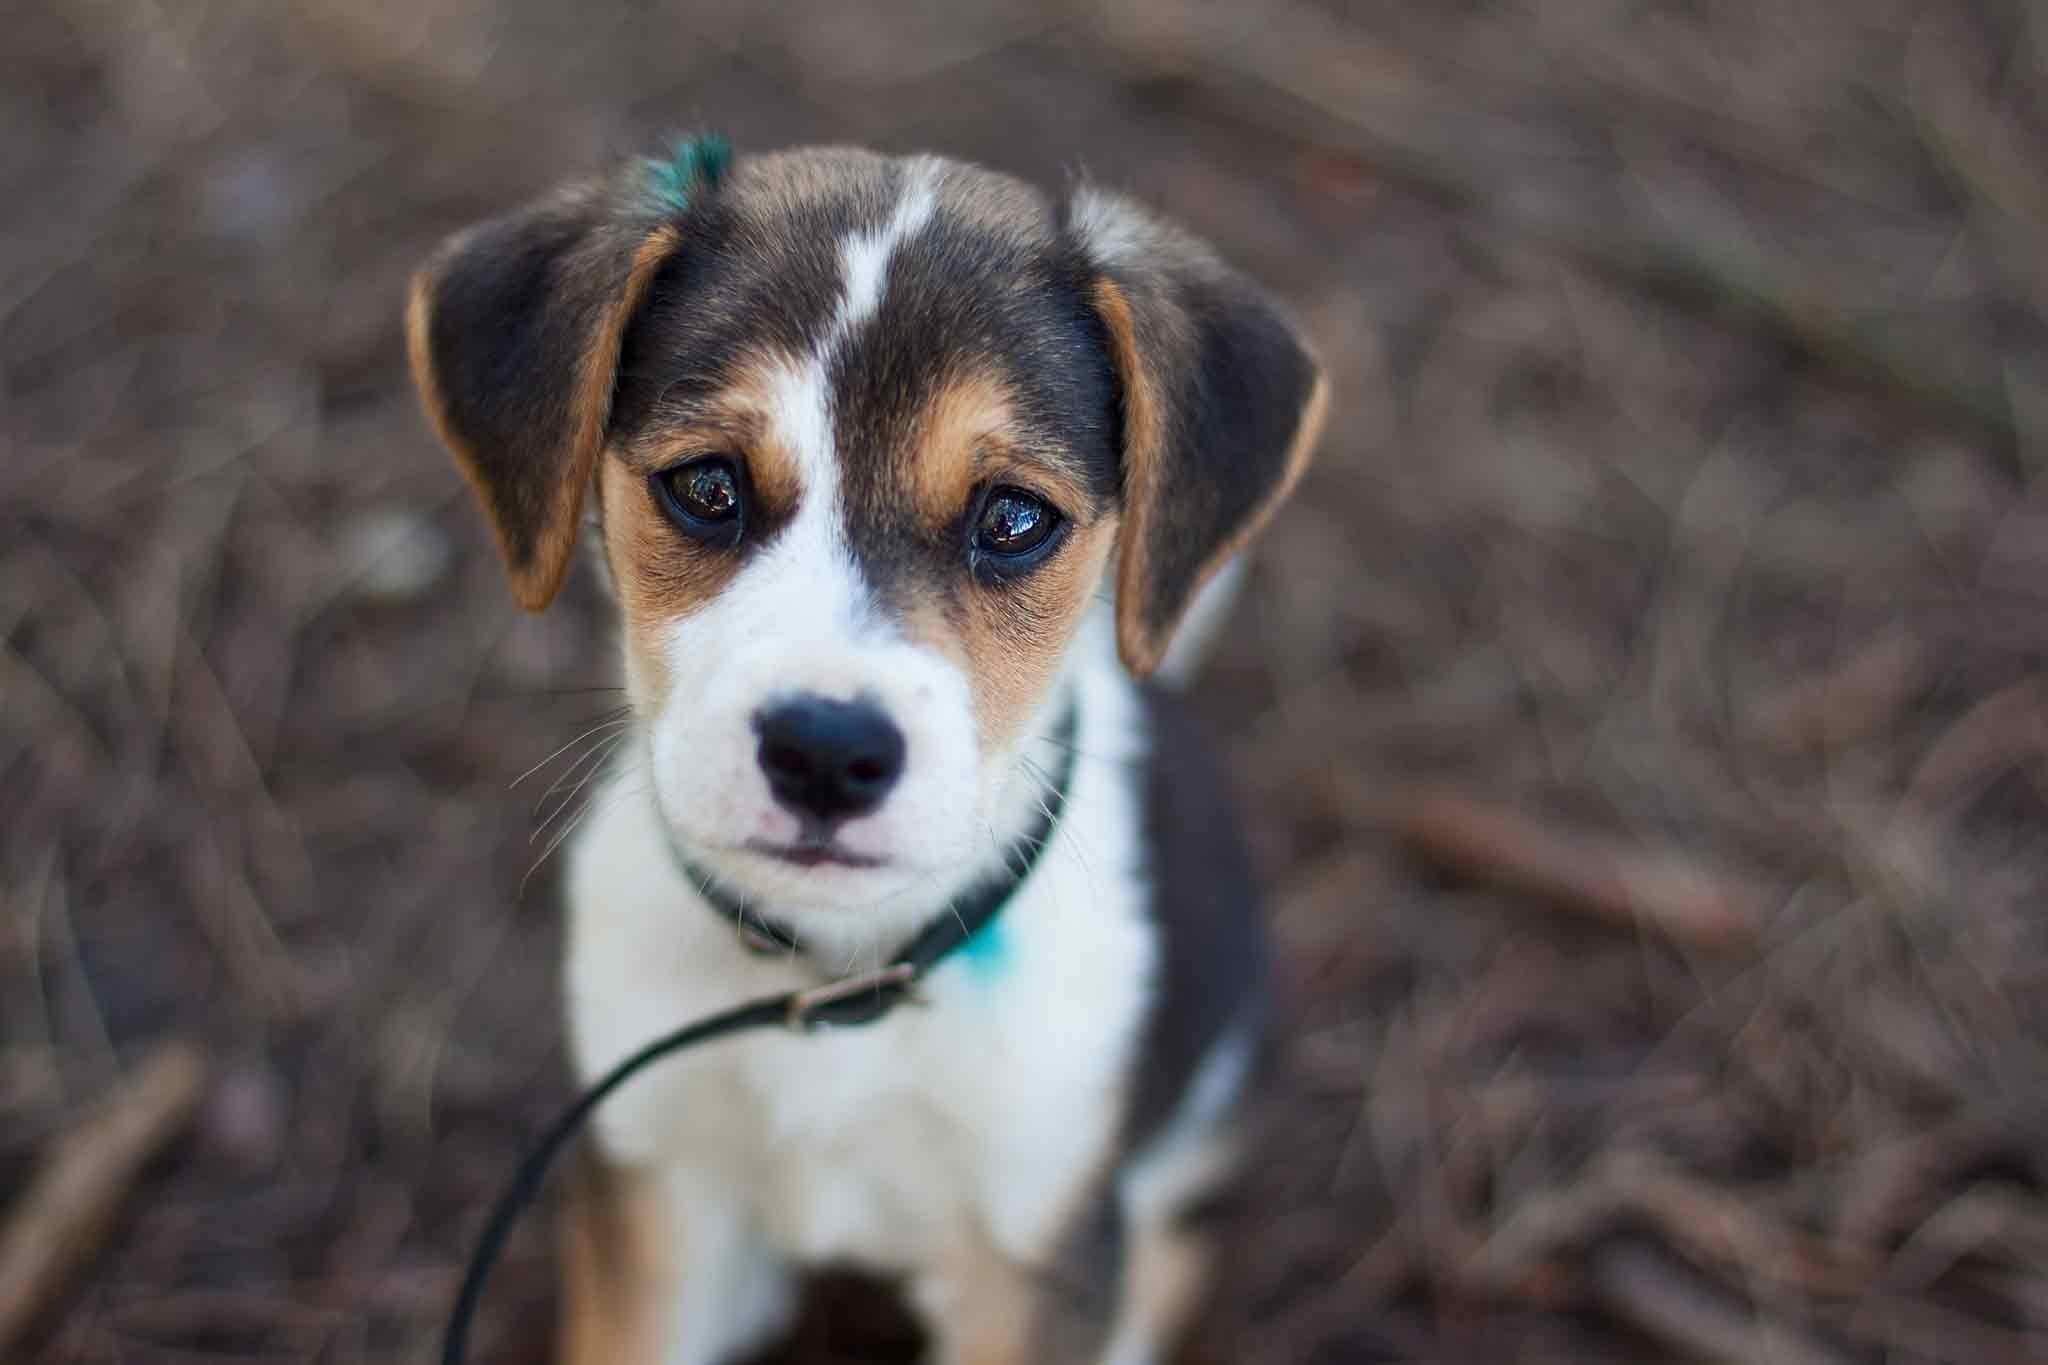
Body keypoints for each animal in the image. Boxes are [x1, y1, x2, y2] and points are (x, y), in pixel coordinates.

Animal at [403, 141, 1327, 1365]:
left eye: (1014, 518)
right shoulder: (651, 1184)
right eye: (705, 486)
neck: (836, 983)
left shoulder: (1036, 1248)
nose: (826, 753)